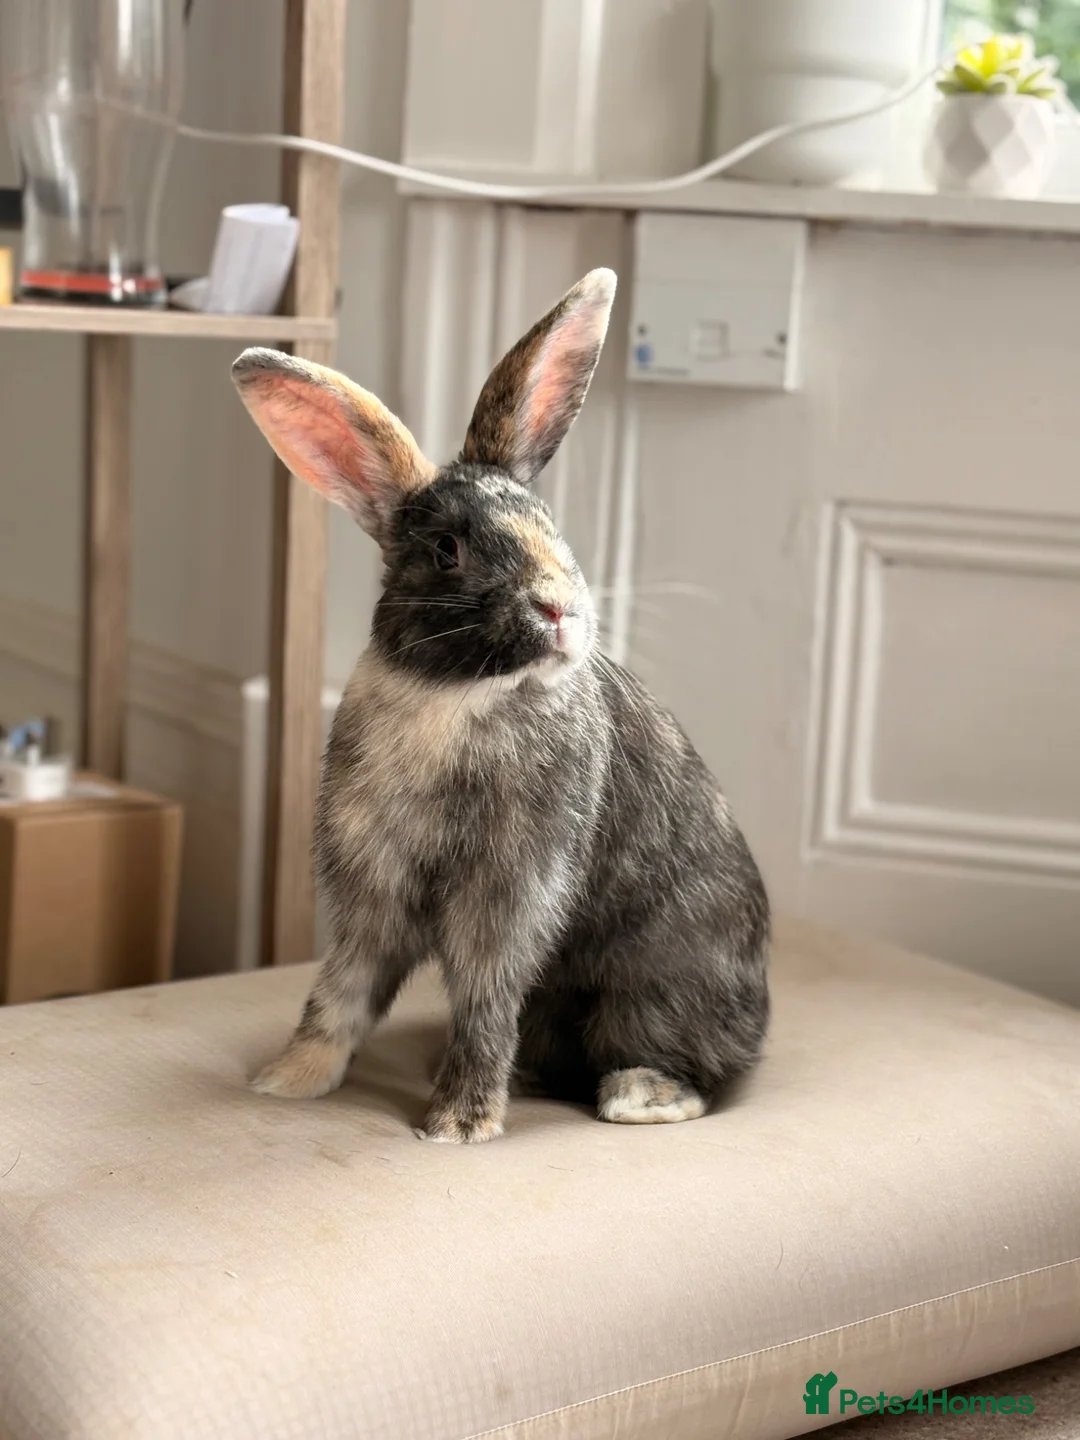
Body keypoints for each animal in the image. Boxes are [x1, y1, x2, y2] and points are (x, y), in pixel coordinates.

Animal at [232, 267, 769, 1144]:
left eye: (552, 527)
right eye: (447, 551)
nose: (557, 608)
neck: (455, 694)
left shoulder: (510, 893)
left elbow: (484, 999)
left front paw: (458, 1124)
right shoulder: (369, 887)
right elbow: (342, 990)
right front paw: (286, 1081)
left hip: (657, 992)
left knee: (688, 1071)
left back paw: (638, 1097)